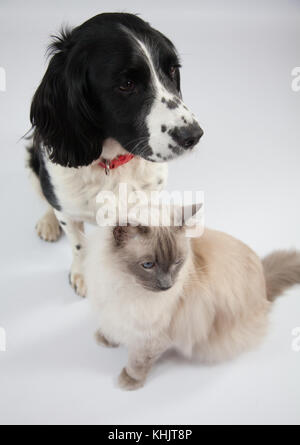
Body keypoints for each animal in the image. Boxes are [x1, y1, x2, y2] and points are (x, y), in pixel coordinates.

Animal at [27, 13, 203, 294]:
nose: (194, 135)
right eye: (126, 84)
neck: (112, 164)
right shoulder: (67, 207)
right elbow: (78, 244)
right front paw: (83, 273)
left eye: (172, 70)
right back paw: (48, 221)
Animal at [83, 205, 300, 388]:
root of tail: (264, 281)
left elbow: (139, 360)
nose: (167, 286)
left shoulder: (154, 337)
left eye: (177, 262)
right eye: (148, 265)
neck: (125, 285)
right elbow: (112, 327)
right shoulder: (113, 308)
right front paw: (106, 338)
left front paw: (129, 380)